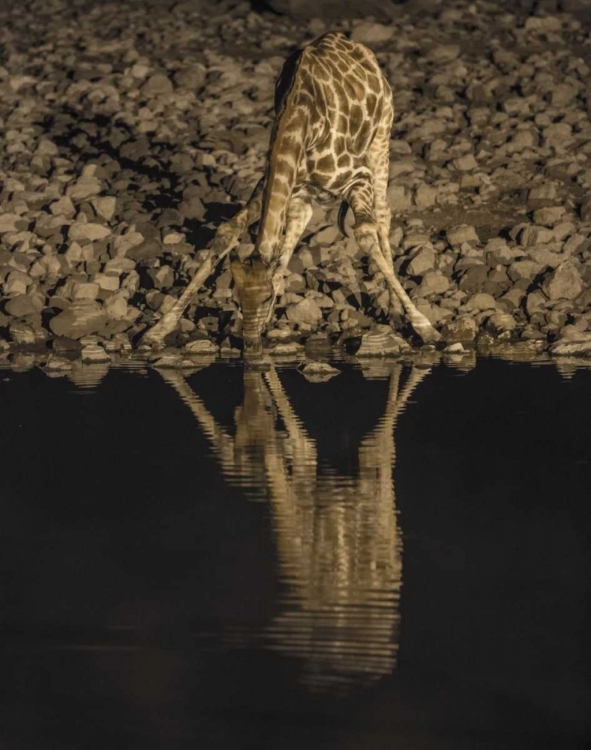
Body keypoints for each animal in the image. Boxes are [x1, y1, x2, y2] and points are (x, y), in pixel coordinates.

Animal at [141, 30, 442, 354]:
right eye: (236, 297)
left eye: (264, 296)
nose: (250, 344)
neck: (300, 118)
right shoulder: (279, 183)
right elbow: (228, 231)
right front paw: (157, 331)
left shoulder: (357, 178)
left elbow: (364, 234)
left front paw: (426, 328)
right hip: (307, 192)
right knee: (301, 222)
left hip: (381, 136)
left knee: (383, 213)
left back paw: (397, 311)